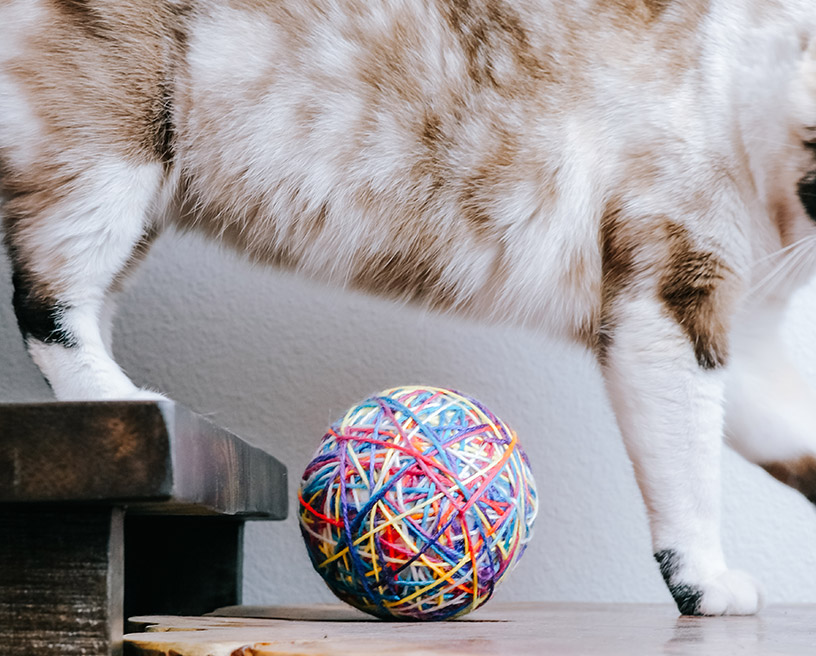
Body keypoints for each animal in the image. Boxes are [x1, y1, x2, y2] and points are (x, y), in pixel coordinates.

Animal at [1, 0, 816, 616]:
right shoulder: (668, 306)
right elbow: (692, 480)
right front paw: (706, 586)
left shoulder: (741, 340)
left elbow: (796, 443)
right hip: (113, 149)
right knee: (49, 299)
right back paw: (122, 401)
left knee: (90, 301)